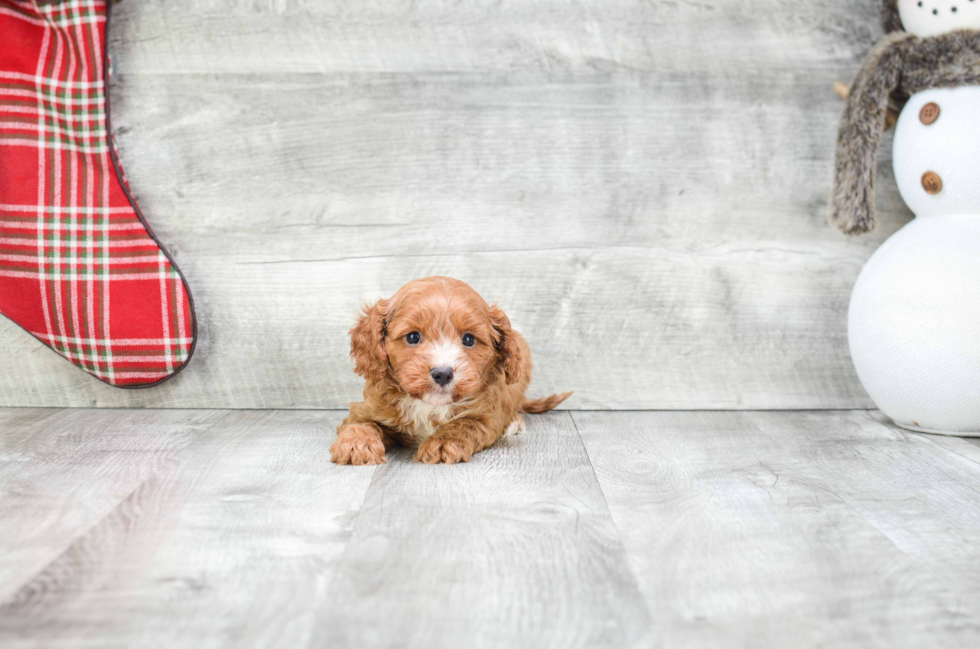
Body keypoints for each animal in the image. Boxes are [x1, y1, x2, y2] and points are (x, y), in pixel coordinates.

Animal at [332, 276, 572, 464]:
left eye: (468, 339)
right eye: (413, 337)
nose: (443, 374)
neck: (429, 406)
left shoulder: (487, 415)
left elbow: (464, 424)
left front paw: (442, 442)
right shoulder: (368, 407)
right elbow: (360, 423)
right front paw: (356, 445)